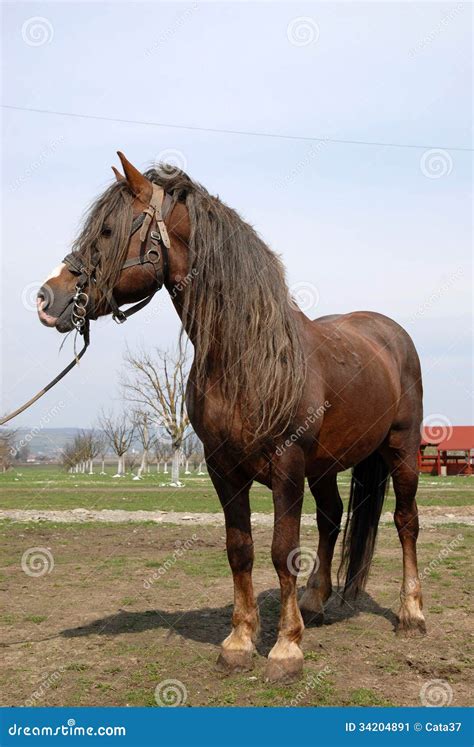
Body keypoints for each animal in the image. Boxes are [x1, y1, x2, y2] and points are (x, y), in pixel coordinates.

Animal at [35, 152, 424, 684]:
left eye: (109, 230)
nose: (47, 298)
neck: (245, 354)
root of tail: (390, 333)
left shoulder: (287, 468)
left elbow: (283, 551)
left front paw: (286, 648)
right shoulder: (224, 470)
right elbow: (240, 550)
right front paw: (240, 642)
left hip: (402, 451)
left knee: (406, 522)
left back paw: (411, 614)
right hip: (324, 467)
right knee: (331, 518)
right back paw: (316, 603)